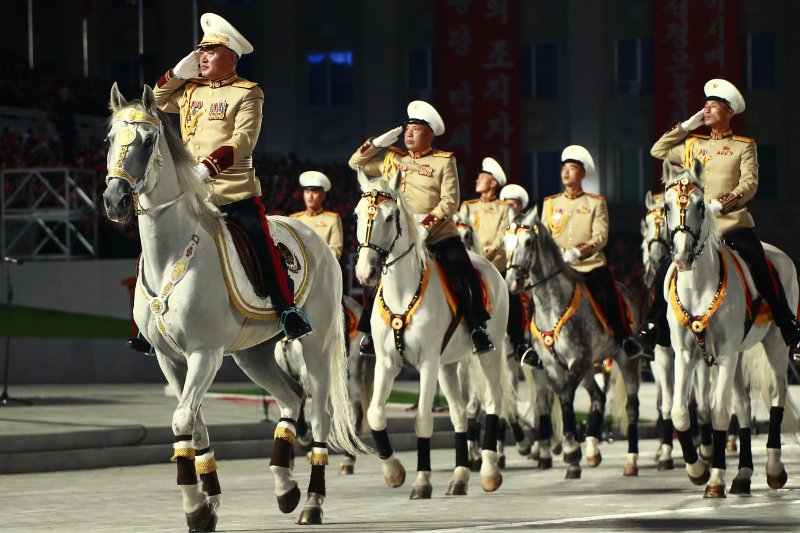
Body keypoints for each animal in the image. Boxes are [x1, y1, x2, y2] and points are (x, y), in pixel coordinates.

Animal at [103, 85, 366, 524]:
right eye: (109, 139)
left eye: (149, 139)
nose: (116, 199)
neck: (171, 254)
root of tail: (317, 241)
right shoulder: (169, 359)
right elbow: (195, 425)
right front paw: (207, 502)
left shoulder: (204, 354)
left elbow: (182, 418)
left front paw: (195, 507)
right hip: (253, 354)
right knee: (290, 398)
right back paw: (285, 487)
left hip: (316, 345)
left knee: (319, 414)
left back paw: (311, 502)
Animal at [356, 168, 512, 496]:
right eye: (357, 214)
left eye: (390, 217)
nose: (365, 272)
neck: (403, 291)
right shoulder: (387, 362)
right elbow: (375, 413)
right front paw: (394, 472)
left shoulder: (427, 362)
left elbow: (424, 418)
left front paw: (422, 480)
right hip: (447, 365)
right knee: (459, 413)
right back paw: (460, 476)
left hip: (486, 355)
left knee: (493, 400)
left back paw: (489, 471)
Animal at [506, 207, 644, 478]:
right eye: (507, 241)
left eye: (528, 242)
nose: (513, 281)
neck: (550, 305)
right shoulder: (553, 366)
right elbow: (560, 395)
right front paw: (572, 455)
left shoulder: (576, 360)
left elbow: (566, 395)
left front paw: (570, 451)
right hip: (590, 367)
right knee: (598, 397)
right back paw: (592, 452)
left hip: (624, 360)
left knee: (632, 407)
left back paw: (632, 461)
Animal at [660, 158, 796, 494]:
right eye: (666, 206)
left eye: (700, 204)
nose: (682, 257)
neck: (698, 286)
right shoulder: (685, 354)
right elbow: (680, 412)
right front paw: (697, 469)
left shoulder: (725, 353)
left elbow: (720, 412)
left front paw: (715, 478)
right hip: (738, 356)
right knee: (745, 406)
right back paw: (744, 474)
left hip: (775, 343)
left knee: (777, 396)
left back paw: (774, 469)